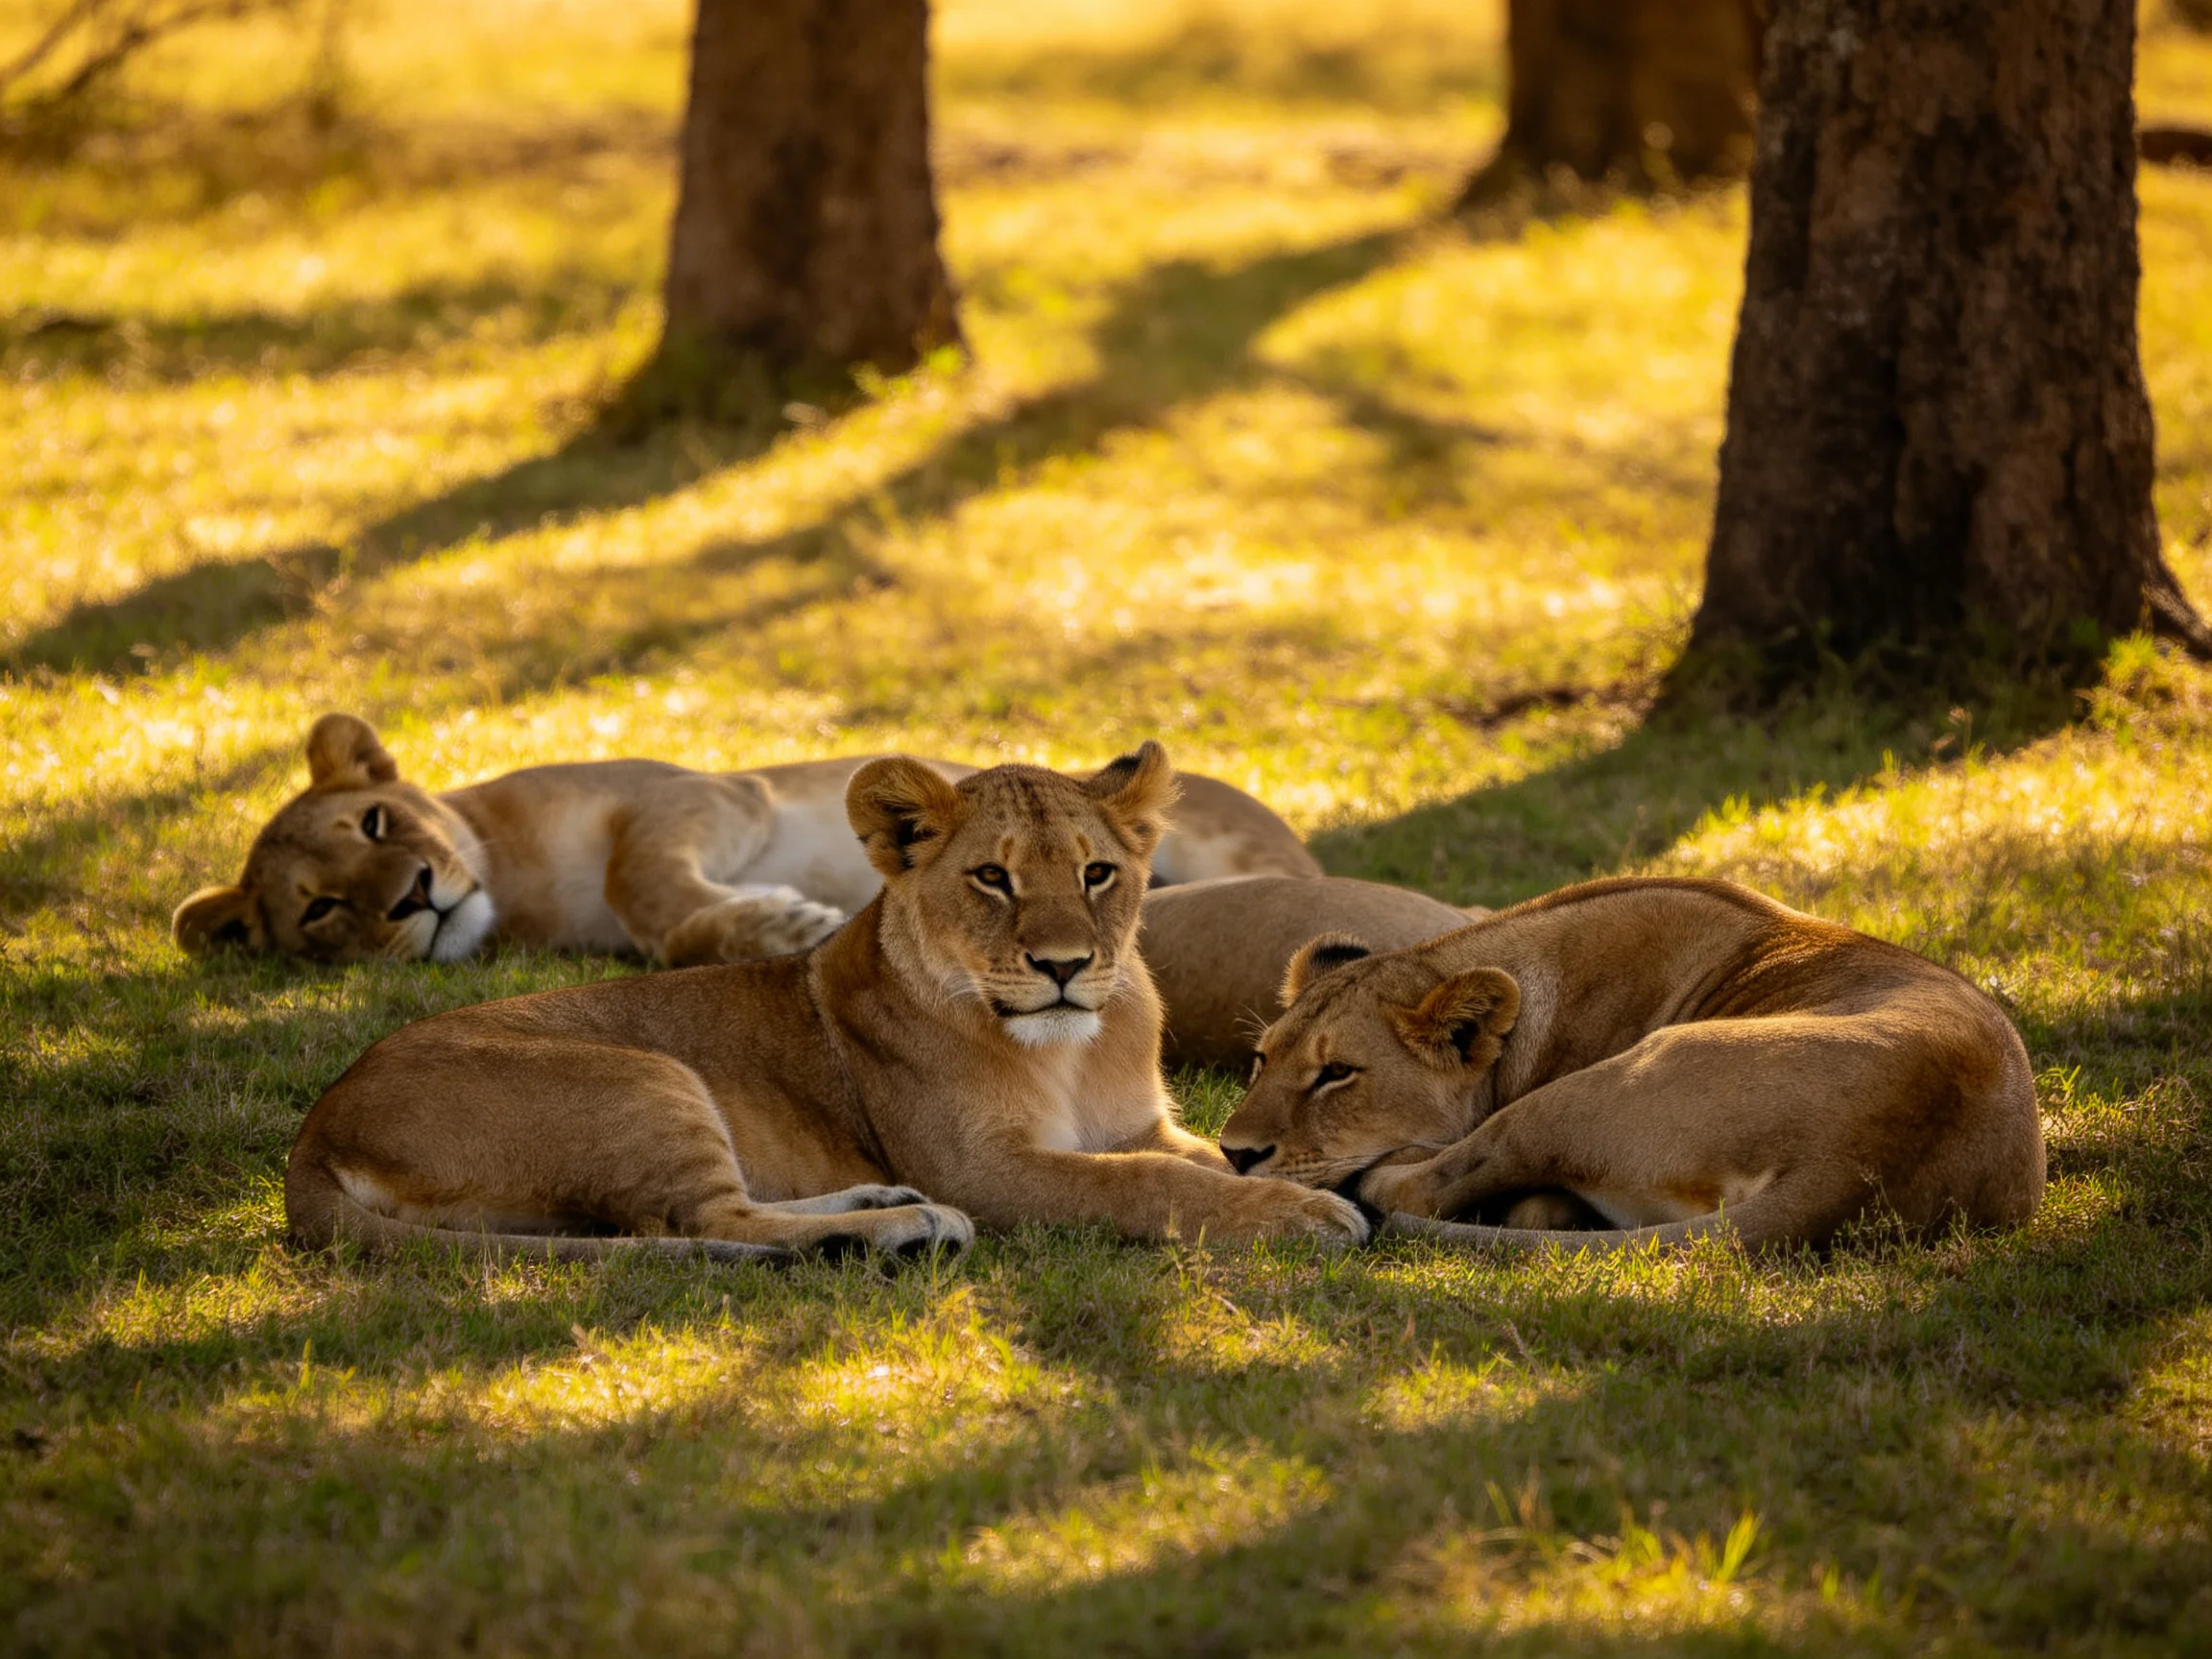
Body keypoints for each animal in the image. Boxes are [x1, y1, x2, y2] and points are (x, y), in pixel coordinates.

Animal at [284, 745, 1369, 1262]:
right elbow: (1150, 1185)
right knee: (702, 1222)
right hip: (642, 1077)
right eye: (993, 879)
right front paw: (1305, 1216)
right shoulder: (985, 1170)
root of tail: (319, 1125)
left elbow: (1198, 1162)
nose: (1065, 965)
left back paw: (882, 1205)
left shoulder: (1139, 1122)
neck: (1072, 1046)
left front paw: (1308, 1182)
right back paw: (900, 1232)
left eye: (1099, 873)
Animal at [1215, 876, 2044, 1252]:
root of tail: (1854, 1165)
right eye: (1261, 1061)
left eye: (1337, 1074)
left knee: (1430, 1183)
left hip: (1604, 1085)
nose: (1233, 1153)